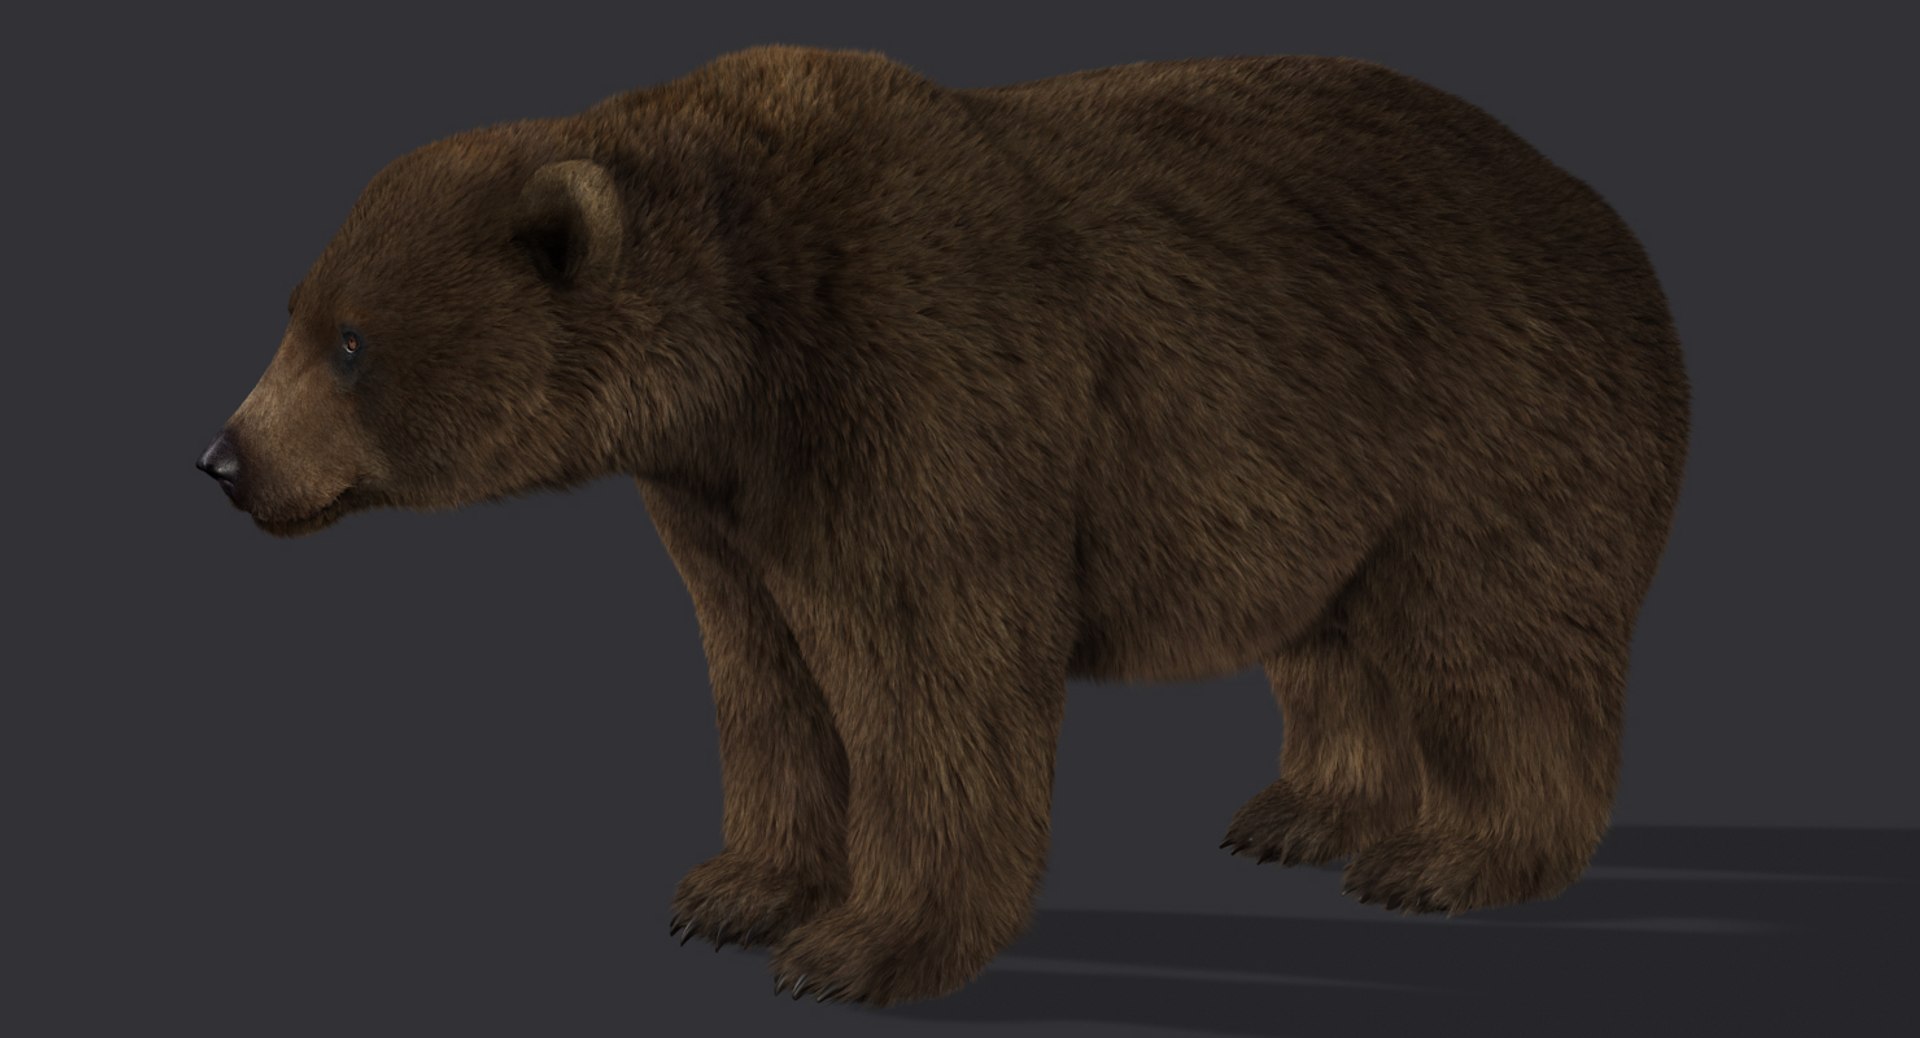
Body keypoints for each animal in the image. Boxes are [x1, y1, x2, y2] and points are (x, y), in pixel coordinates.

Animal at [197, 45, 1691, 1006]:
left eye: (348, 343)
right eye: (299, 307)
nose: (222, 456)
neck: (739, 355)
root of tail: (1612, 226)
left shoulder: (918, 387)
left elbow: (933, 676)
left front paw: (862, 944)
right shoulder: (730, 504)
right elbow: (768, 677)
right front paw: (737, 886)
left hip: (1486, 422)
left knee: (1493, 639)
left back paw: (1452, 855)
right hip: (1332, 476)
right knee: (1337, 638)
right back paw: (1303, 810)